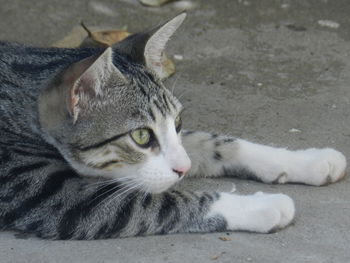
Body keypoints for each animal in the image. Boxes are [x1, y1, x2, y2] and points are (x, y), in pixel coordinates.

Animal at [0, 13, 346, 240]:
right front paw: (262, 205)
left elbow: (215, 143)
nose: (183, 169)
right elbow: (154, 205)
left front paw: (309, 160)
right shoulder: (46, 193)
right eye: (140, 136)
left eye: (177, 122)